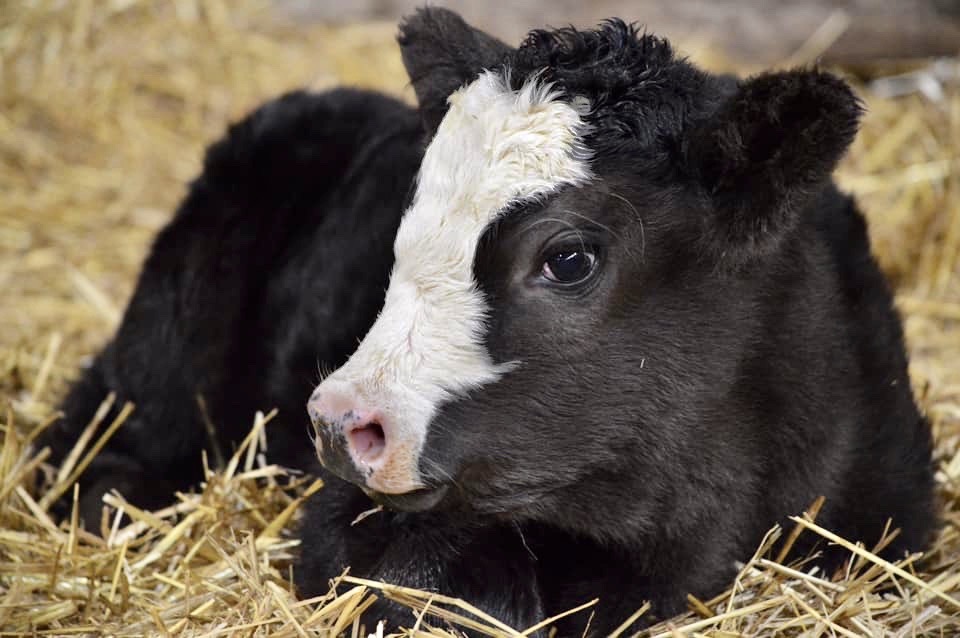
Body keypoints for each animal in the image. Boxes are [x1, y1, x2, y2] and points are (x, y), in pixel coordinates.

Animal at [41, 7, 935, 635]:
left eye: (569, 258)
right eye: (407, 219)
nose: (336, 421)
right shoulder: (346, 523)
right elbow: (443, 590)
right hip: (167, 341)